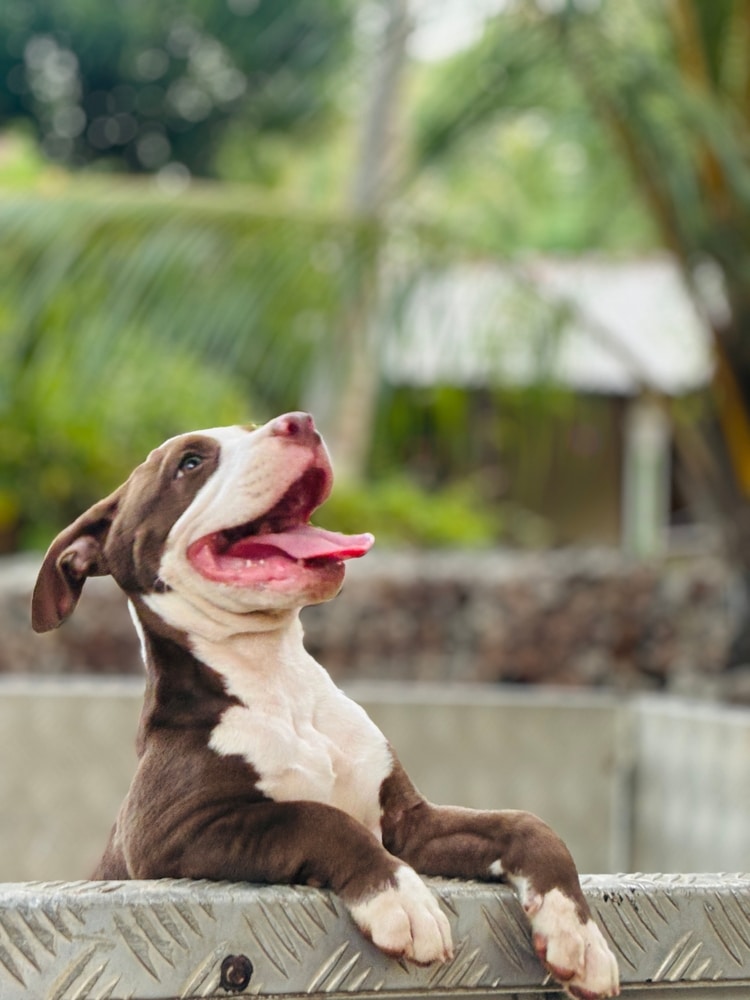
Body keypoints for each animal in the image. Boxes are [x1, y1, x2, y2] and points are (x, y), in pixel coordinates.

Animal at [32, 412, 620, 1000]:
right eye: (191, 462)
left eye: (251, 427)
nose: (299, 422)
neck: (278, 678)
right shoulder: (172, 835)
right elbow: (315, 818)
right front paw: (400, 898)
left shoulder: (408, 820)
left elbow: (525, 824)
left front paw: (577, 932)